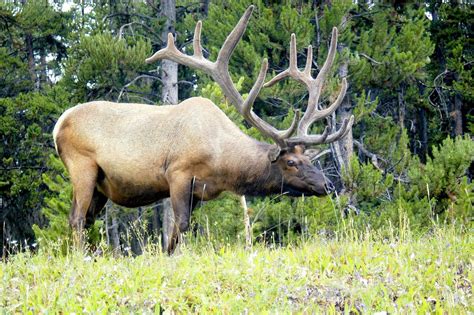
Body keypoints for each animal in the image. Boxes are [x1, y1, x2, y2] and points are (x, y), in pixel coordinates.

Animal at [53, 5, 354, 254]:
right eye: (291, 162)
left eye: (309, 158)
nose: (328, 184)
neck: (221, 163)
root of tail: (58, 126)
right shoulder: (177, 173)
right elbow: (181, 225)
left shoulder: (199, 192)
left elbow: (178, 231)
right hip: (82, 166)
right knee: (77, 218)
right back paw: (80, 257)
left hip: (102, 186)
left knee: (87, 219)